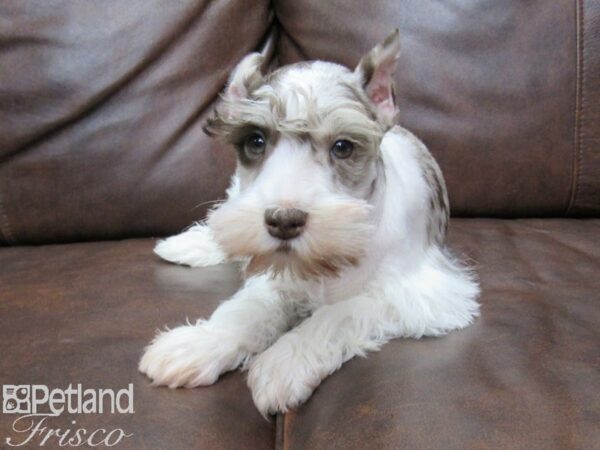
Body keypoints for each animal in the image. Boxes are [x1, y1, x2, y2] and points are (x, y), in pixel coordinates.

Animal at [139, 29, 478, 416]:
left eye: (343, 146)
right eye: (254, 141)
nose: (283, 221)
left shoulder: (424, 294)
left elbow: (340, 313)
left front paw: (283, 361)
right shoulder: (276, 277)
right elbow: (247, 309)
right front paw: (200, 343)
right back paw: (188, 245)